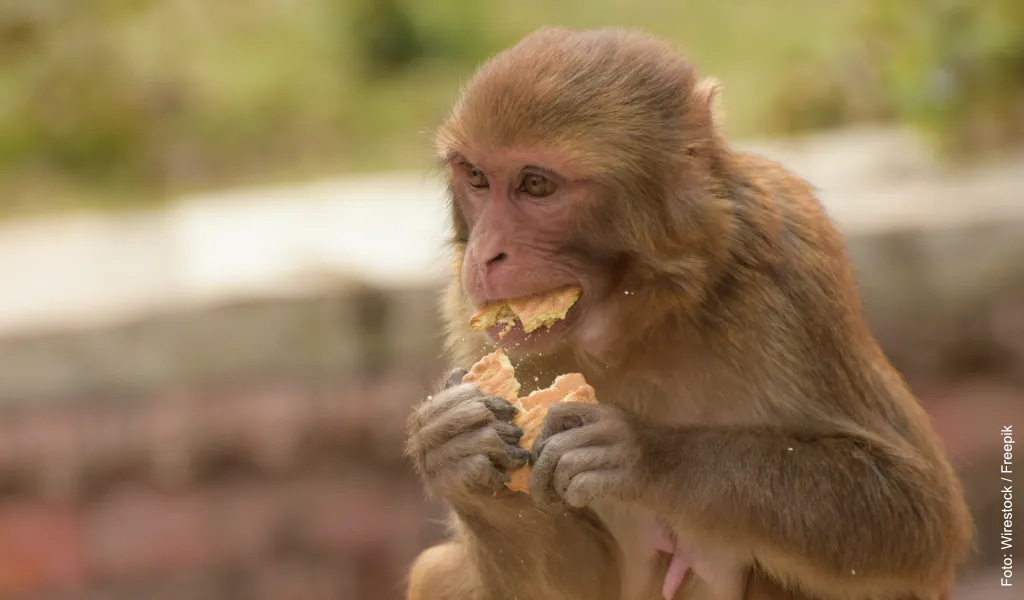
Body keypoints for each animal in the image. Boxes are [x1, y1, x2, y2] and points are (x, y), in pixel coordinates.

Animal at [399, 25, 966, 593]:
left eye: (536, 184)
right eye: (476, 175)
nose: (485, 254)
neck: (634, 325)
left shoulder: (793, 265)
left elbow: (918, 514)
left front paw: (644, 454)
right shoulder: (466, 317)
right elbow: (586, 581)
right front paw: (457, 454)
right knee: (436, 571)